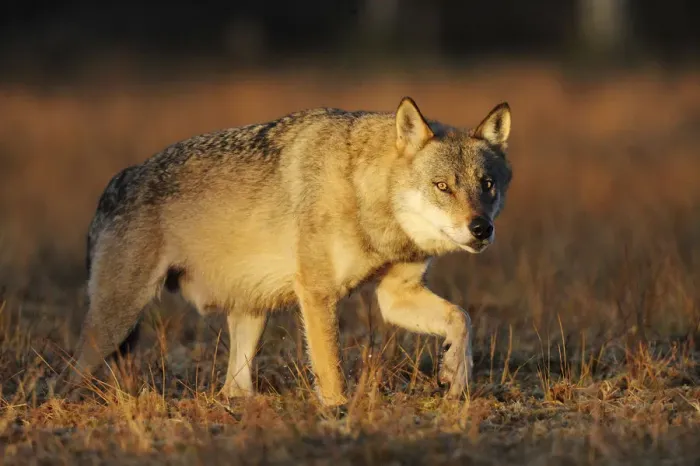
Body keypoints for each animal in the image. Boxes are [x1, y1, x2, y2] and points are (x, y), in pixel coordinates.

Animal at [54, 96, 513, 407]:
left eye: (486, 184)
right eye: (442, 186)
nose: (481, 229)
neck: (365, 192)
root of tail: (114, 183)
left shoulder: (395, 296)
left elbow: (462, 319)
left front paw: (455, 378)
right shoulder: (317, 294)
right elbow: (330, 370)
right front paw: (338, 413)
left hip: (250, 315)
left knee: (233, 388)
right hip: (115, 322)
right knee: (68, 377)